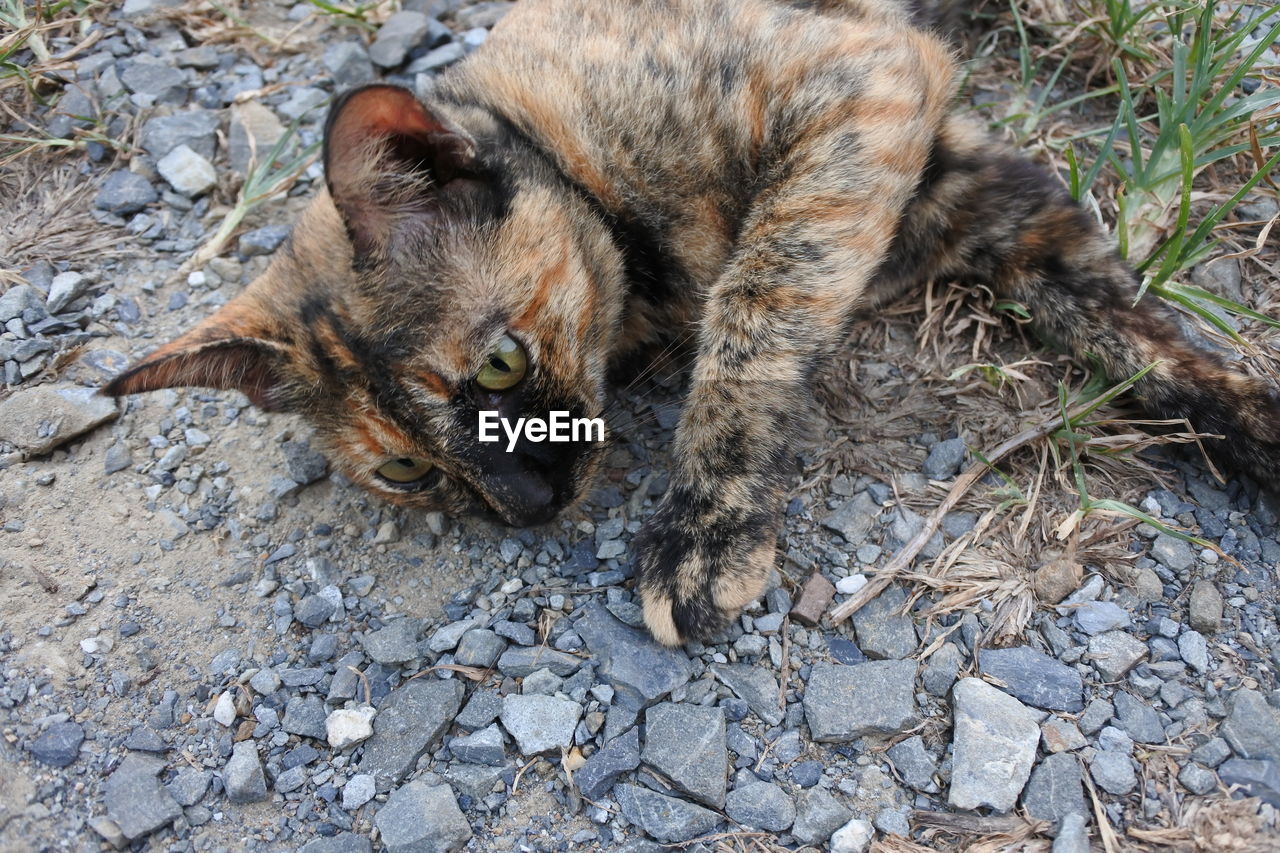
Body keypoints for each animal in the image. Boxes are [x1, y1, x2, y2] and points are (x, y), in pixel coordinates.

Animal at [107, 0, 1280, 640]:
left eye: (500, 364)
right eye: (400, 471)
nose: (525, 507)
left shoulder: (862, 89)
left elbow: (756, 308)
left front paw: (709, 524)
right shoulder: (977, 190)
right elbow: (1127, 327)